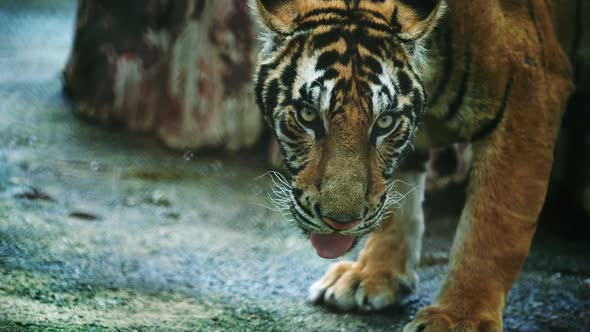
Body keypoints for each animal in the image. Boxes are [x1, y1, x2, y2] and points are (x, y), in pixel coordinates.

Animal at [252, 1, 580, 330]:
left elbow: (494, 224)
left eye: (384, 122)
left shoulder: (530, 93)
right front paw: (372, 276)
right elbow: (396, 203)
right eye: (307, 115)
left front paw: (460, 317)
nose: (340, 223)